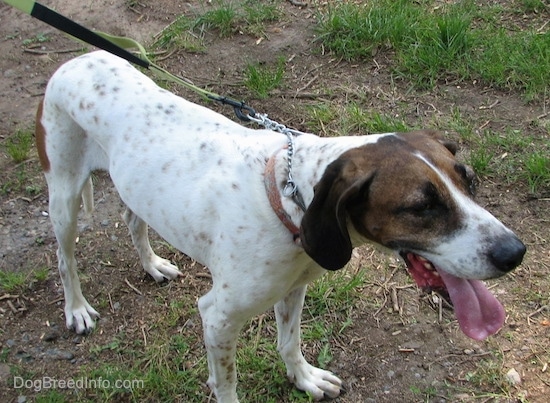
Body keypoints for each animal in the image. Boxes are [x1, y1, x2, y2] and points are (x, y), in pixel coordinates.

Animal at [36, 51, 528, 403]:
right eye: (421, 206)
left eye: (469, 181)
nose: (515, 252)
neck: (288, 200)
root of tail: (77, 59)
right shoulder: (217, 317)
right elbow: (226, 385)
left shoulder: (294, 288)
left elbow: (289, 342)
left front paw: (304, 379)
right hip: (63, 197)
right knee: (64, 259)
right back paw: (77, 309)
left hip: (135, 187)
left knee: (131, 220)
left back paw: (152, 264)